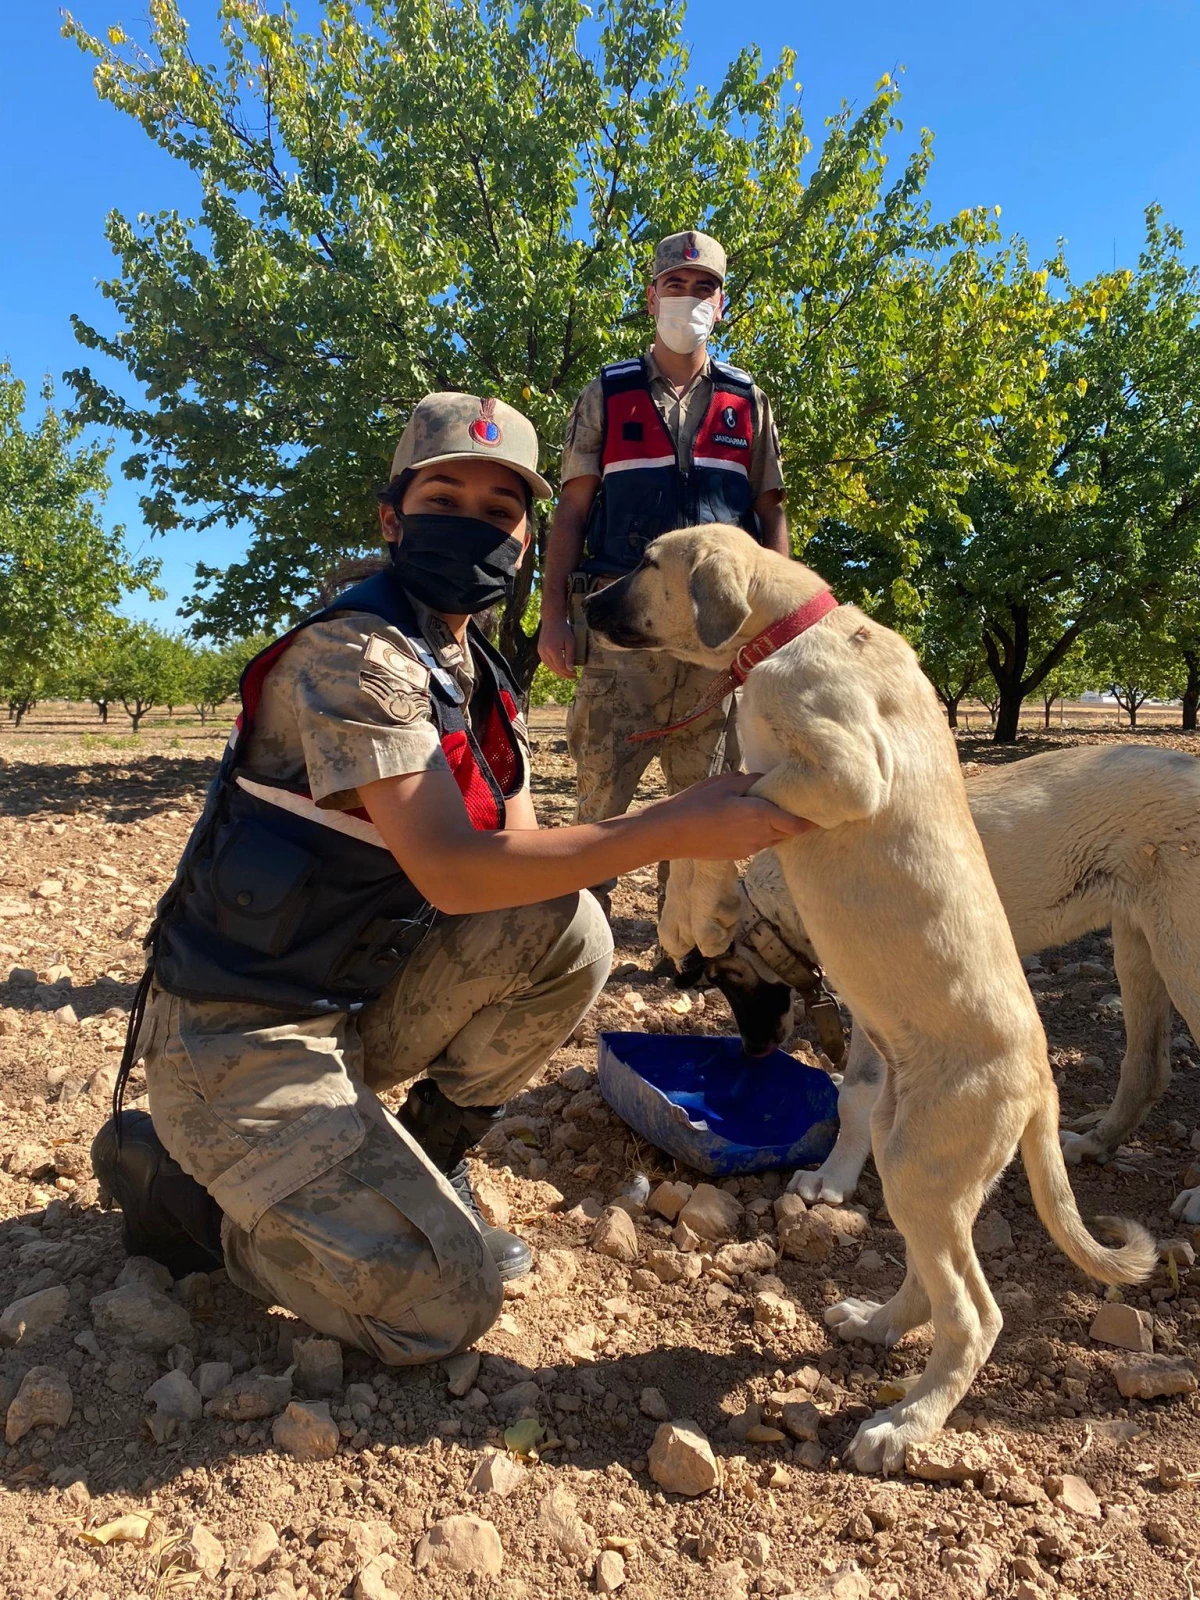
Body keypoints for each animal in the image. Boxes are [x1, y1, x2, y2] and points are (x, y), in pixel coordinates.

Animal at [582, 524, 1158, 1472]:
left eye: (648, 563)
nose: (585, 603)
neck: (789, 632)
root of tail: (1041, 1080)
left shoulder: (839, 777)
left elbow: (710, 800)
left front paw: (692, 911)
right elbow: (705, 808)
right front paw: (693, 912)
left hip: (926, 1164)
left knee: (976, 1314)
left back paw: (907, 1424)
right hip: (912, 1156)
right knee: (933, 1279)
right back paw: (876, 1323)